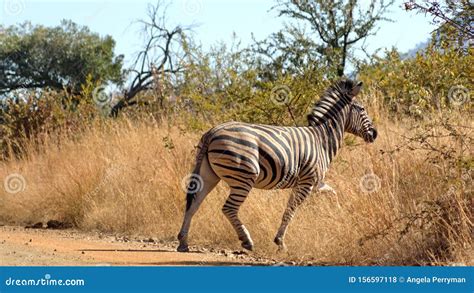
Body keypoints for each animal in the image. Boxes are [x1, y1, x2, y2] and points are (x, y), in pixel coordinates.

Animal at [178, 78, 378, 251]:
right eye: (362, 109)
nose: (375, 134)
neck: (321, 139)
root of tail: (213, 131)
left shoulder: (316, 183)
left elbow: (333, 195)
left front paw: (339, 216)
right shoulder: (307, 182)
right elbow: (290, 210)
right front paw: (280, 242)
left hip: (209, 174)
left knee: (194, 204)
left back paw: (183, 242)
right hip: (243, 176)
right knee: (228, 208)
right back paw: (247, 241)